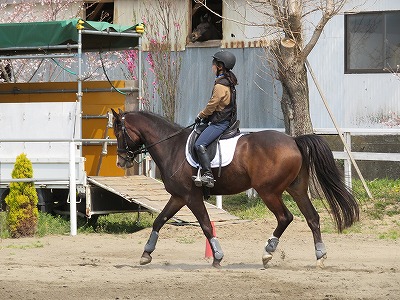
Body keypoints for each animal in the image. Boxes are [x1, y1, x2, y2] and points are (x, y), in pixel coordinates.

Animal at [111, 109, 360, 268]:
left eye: (118, 132)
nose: (121, 161)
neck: (171, 146)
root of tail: (293, 141)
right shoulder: (179, 197)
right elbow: (159, 221)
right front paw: (146, 254)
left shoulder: (191, 197)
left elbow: (205, 225)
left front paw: (218, 257)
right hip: (296, 189)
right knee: (312, 218)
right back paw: (320, 255)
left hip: (268, 191)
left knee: (285, 217)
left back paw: (268, 253)